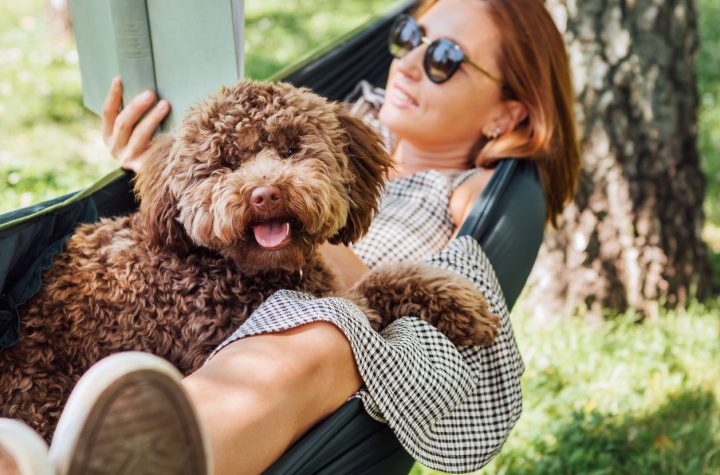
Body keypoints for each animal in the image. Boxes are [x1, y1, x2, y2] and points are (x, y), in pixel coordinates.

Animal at [0, 80, 496, 440]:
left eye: (292, 149)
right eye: (224, 163)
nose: (264, 194)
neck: (231, 269)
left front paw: (455, 301)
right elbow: (368, 297)